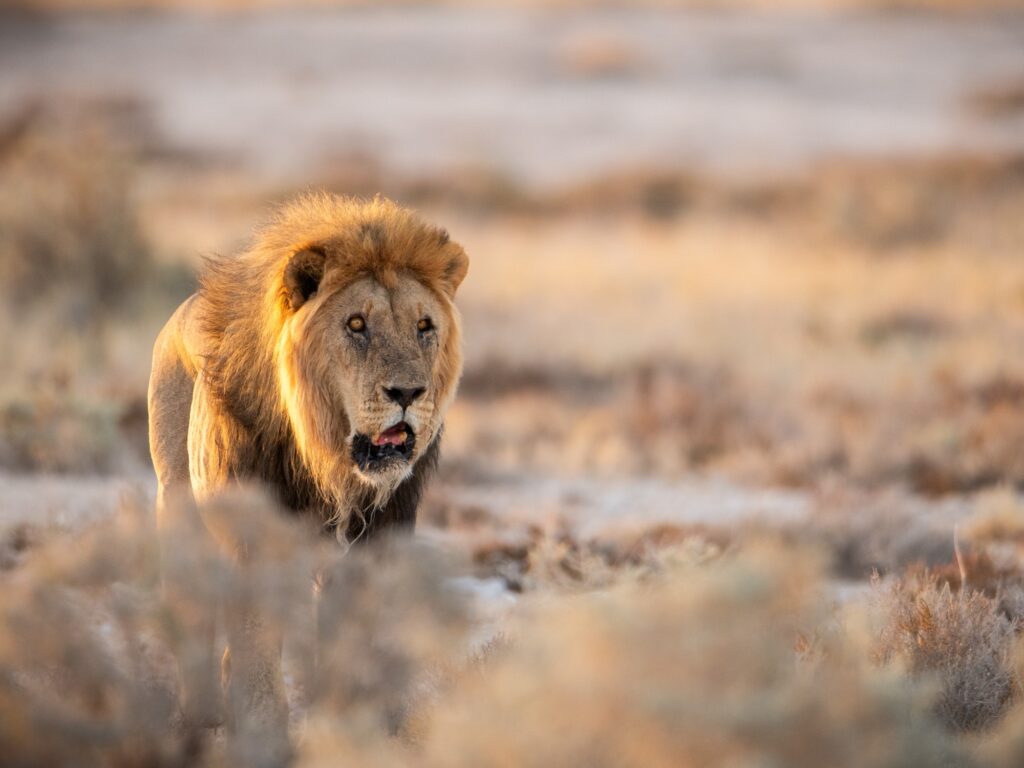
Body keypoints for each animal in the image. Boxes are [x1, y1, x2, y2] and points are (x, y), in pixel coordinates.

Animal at [147, 193, 468, 748]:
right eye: (356, 325)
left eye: (424, 327)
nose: (408, 393)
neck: (326, 456)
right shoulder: (252, 534)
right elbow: (256, 642)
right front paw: (261, 736)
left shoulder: (376, 536)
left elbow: (355, 639)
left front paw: (359, 730)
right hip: (178, 504)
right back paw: (200, 720)